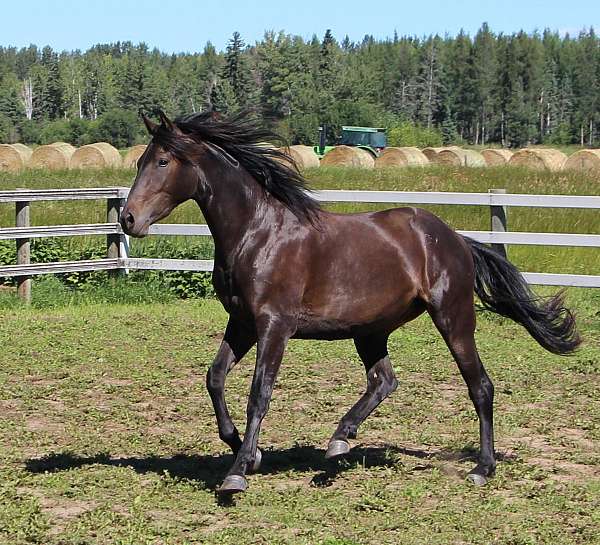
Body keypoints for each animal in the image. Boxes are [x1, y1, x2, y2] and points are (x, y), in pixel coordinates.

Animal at [118, 108, 580, 496]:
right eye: (141, 161)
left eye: (163, 161)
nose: (128, 219)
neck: (259, 233)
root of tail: (455, 239)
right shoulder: (243, 323)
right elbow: (214, 378)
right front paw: (245, 450)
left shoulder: (274, 326)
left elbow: (259, 392)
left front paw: (239, 471)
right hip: (370, 331)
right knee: (384, 381)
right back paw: (339, 441)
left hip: (453, 318)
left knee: (479, 386)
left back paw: (482, 468)